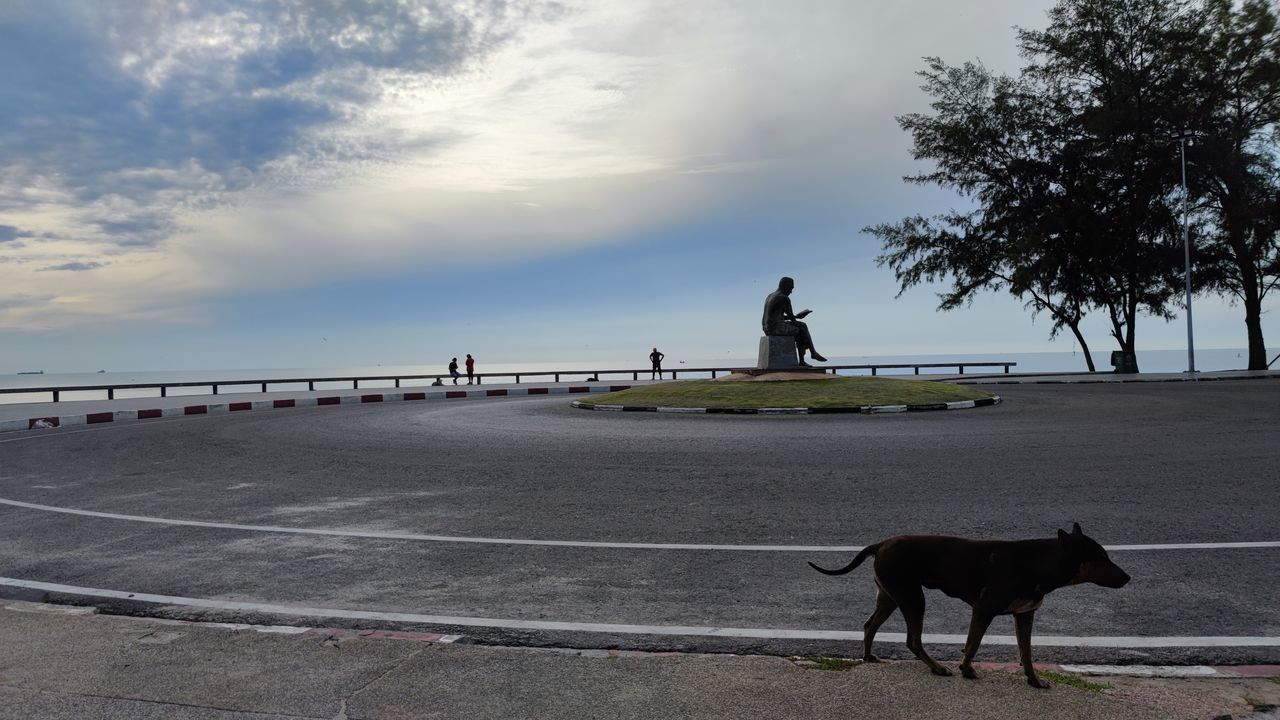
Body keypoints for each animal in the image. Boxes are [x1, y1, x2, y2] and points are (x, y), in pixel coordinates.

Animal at [808, 520, 1131, 681]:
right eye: (1101, 558)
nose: (1128, 578)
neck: (1039, 563)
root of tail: (881, 544)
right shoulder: (984, 608)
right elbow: (973, 643)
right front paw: (967, 669)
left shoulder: (1025, 614)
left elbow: (1026, 652)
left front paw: (1034, 680)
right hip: (912, 597)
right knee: (912, 640)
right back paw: (937, 667)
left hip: (890, 595)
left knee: (869, 625)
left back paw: (867, 655)